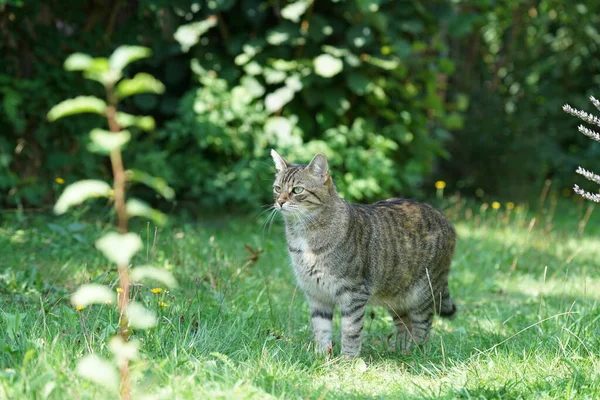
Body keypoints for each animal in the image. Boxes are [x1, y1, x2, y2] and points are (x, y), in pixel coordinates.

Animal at [270, 149, 454, 356]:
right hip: (396, 295)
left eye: (297, 190)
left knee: (423, 327)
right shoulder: (316, 294)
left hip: (422, 294)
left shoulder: (353, 292)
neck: (303, 236)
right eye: (277, 188)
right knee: (404, 324)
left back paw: (415, 352)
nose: (279, 201)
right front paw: (321, 356)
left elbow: (351, 330)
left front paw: (347, 359)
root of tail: (443, 217)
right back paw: (399, 351)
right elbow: (320, 329)